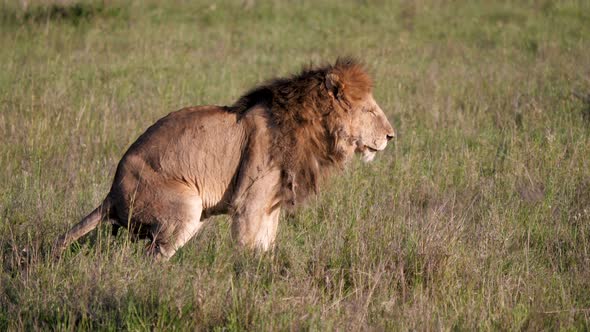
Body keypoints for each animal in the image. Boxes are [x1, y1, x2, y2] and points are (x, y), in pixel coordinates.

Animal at [55, 57, 396, 262]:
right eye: (369, 111)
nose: (392, 136)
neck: (312, 126)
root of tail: (112, 193)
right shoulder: (250, 203)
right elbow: (246, 247)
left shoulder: (271, 204)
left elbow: (266, 244)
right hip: (185, 206)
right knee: (151, 257)